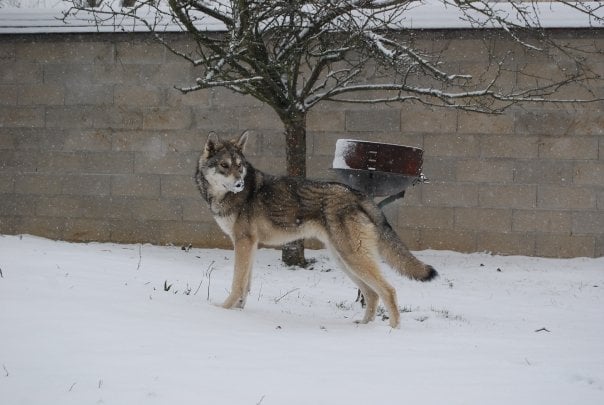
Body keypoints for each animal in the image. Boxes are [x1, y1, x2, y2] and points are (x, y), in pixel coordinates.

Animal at [196, 131, 436, 326]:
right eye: (224, 165)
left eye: (239, 166)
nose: (239, 184)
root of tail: (360, 195)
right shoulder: (250, 245)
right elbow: (246, 285)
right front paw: (238, 312)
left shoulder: (243, 242)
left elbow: (237, 283)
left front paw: (223, 310)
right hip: (344, 260)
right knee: (372, 294)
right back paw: (363, 326)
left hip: (352, 258)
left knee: (388, 290)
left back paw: (392, 331)